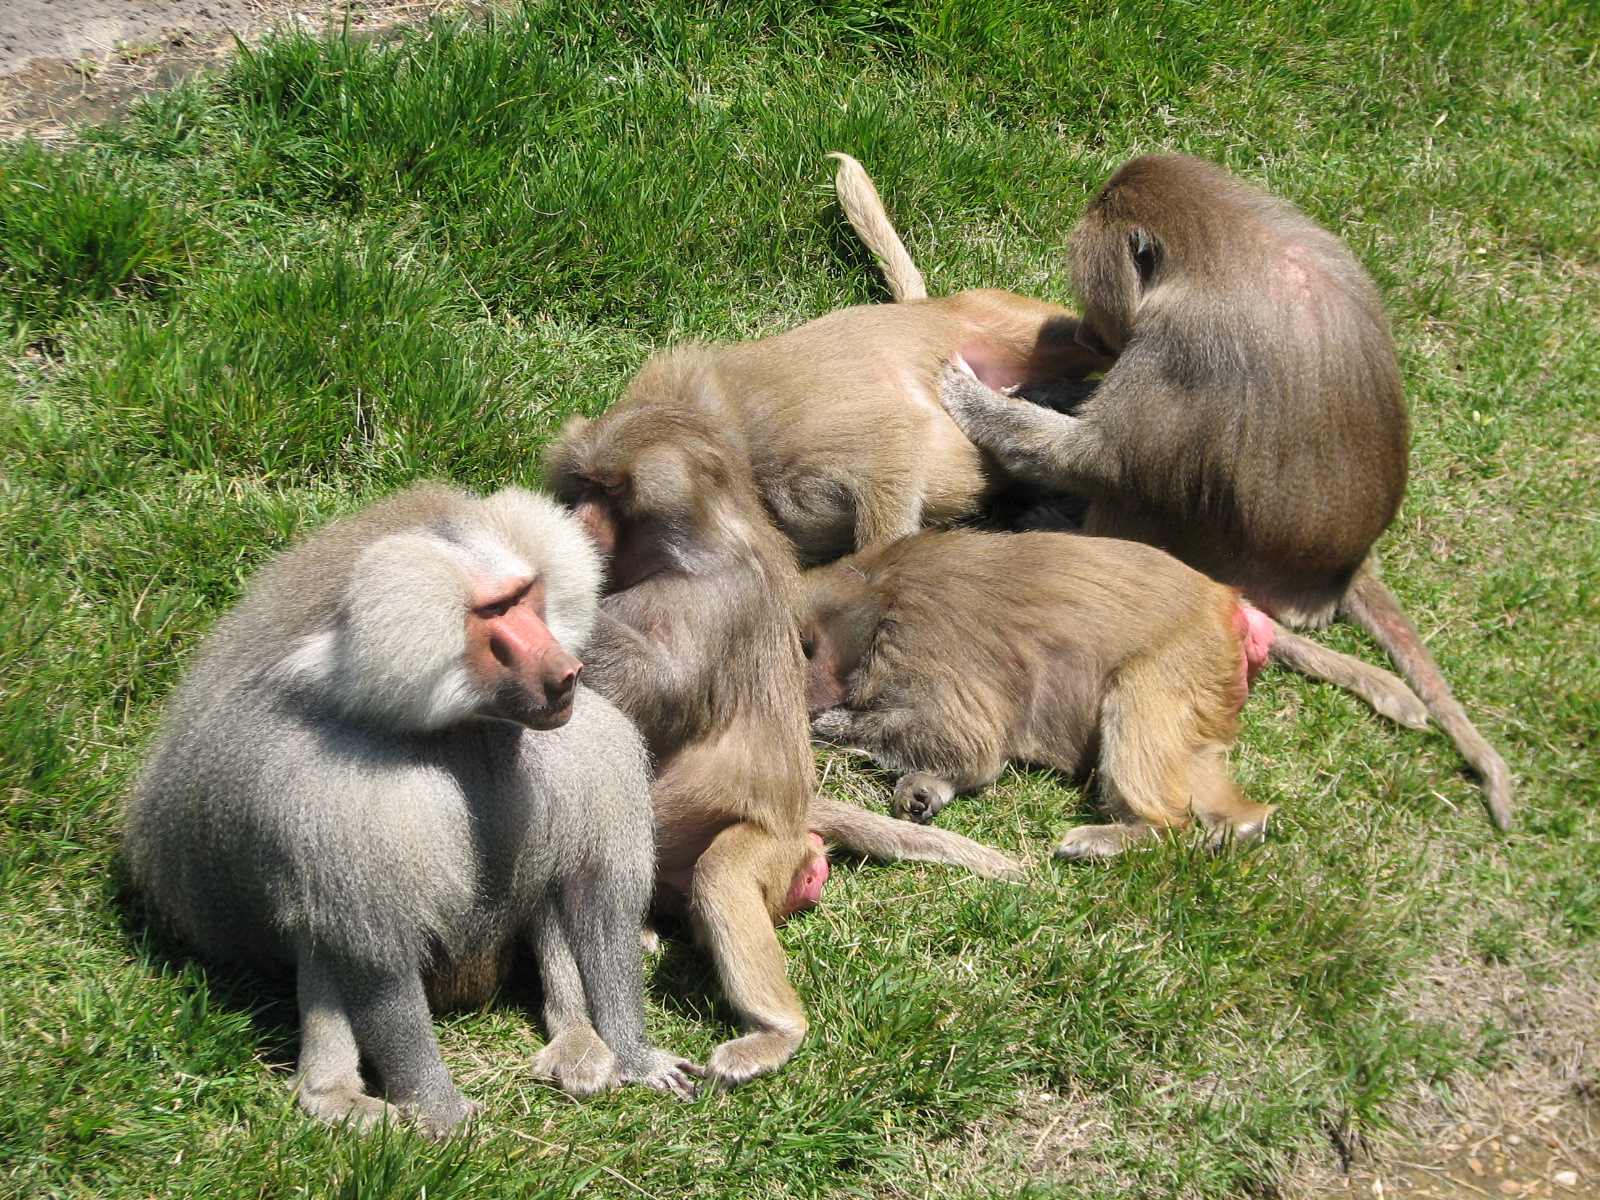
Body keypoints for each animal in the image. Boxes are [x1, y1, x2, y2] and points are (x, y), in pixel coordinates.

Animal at [123, 484, 697, 1137]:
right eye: (493, 611)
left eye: (526, 594)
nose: (566, 671)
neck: (463, 727)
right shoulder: (341, 794)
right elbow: (374, 950)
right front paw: (438, 1108)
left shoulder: (585, 740)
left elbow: (598, 896)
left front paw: (635, 1054)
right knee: (318, 922)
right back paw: (331, 1095)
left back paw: (579, 1042)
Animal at [549, 401, 1023, 1087]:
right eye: (583, 484)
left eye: (612, 491)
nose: (576, 522)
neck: (683, 557)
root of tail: (800, 817)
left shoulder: (719, 599)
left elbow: (655, 689)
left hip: (773, 851)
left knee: (722, 876)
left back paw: (777, 1033)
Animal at [802, 528, 1275, 858]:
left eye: (805, 645)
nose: (806, 696)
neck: (883, 592)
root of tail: (1226, 601)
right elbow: (975, 756)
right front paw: (926, 790)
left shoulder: (914, 640)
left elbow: (966, 741)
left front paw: (830, 725)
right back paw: (1243, 825)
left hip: (1188, 651)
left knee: (1135, 700)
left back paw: (1144, 830)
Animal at [925, 153, 1511, 828]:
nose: (1095, 341)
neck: (1223, 247)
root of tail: (1343, 570)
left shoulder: (1179, 348)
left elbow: (1093, 458)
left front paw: (973, 397)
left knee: (1144, 486)